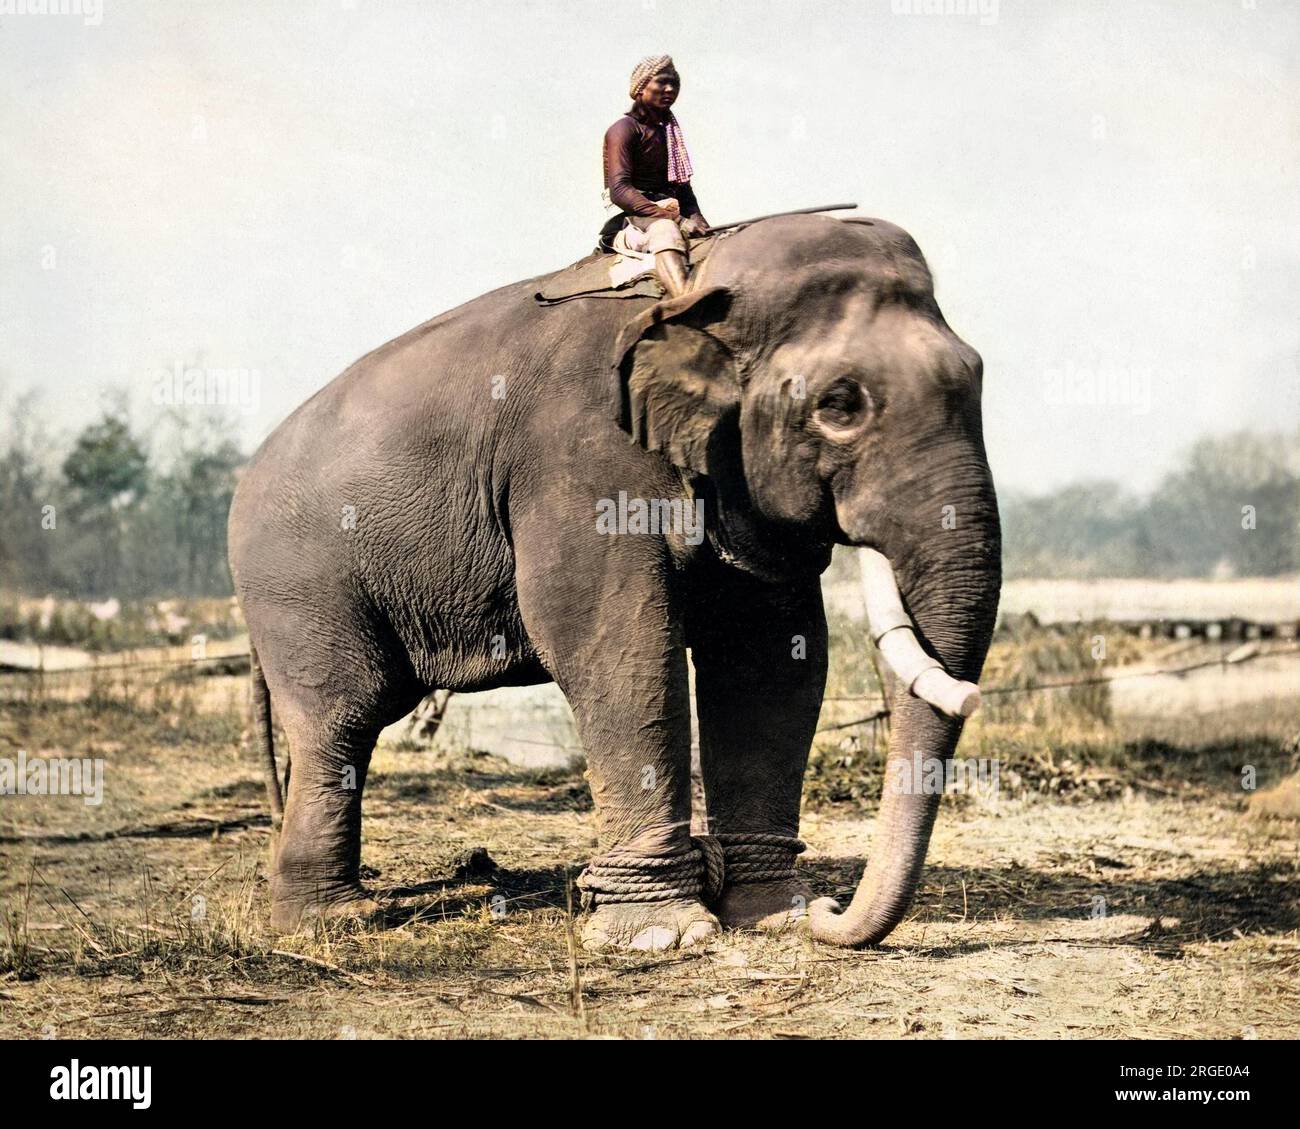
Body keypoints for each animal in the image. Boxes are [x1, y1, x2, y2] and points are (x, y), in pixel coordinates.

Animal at [228, 209, 998, 941]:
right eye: (840, 405)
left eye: (977, 377)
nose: (833, 909)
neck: (697, 286)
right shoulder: (582, 460)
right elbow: (615, 641)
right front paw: (661, 934)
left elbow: (770, 656)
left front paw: (775, 916)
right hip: (299, 582)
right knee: (343, 716)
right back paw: (332, 920)